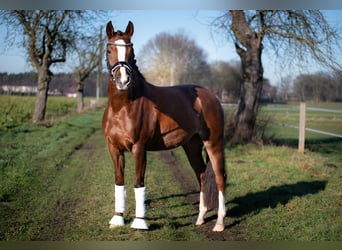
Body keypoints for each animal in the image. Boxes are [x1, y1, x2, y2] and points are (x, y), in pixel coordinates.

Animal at [103, 21, 228, 232]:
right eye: (109, 49)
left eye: (131, 50)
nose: (123, 80)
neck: (123, 108)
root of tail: (211, 96)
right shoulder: (114, 149)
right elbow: (119, 182)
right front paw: (117, 219)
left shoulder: (139, 148)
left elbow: (138, 182)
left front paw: (139, 222)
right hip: (192, 146)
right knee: (202, 175)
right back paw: (200, 218)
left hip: (214, 143)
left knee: (219, 178)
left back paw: (219, 223)